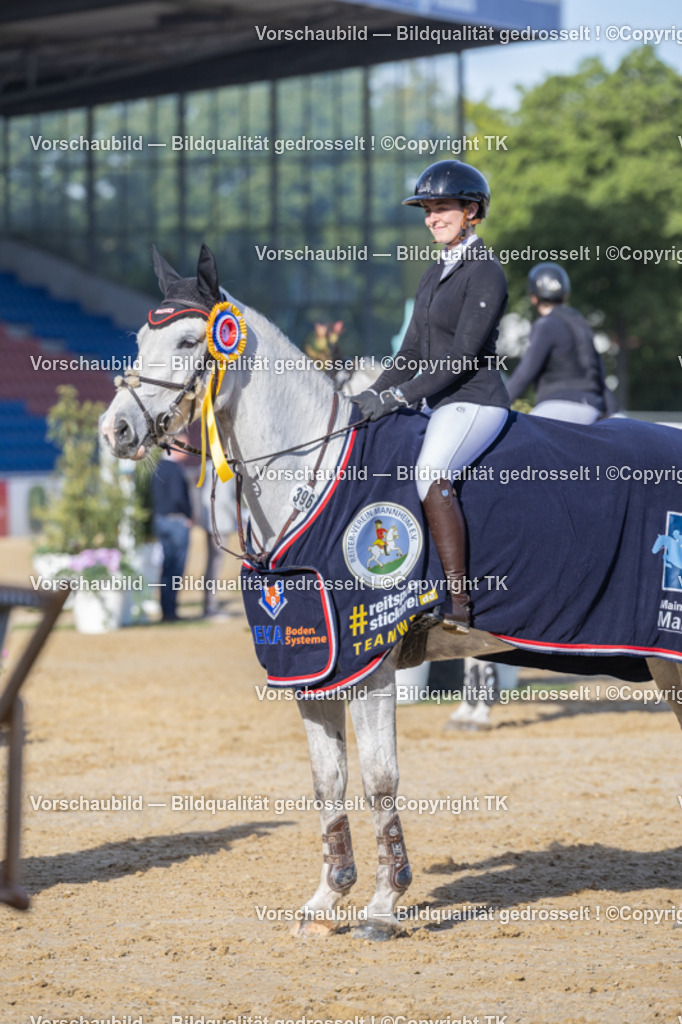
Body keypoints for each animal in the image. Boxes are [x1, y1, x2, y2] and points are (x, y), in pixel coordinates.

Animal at [101, 245, 682, 940]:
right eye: (141, 341)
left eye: (191, 341)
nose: (115, 430)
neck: (314, 472)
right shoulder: (312, 661)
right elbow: (327, 781)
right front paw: (326, 901)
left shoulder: (367, 659)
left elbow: (379, 779)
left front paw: (383, 905)